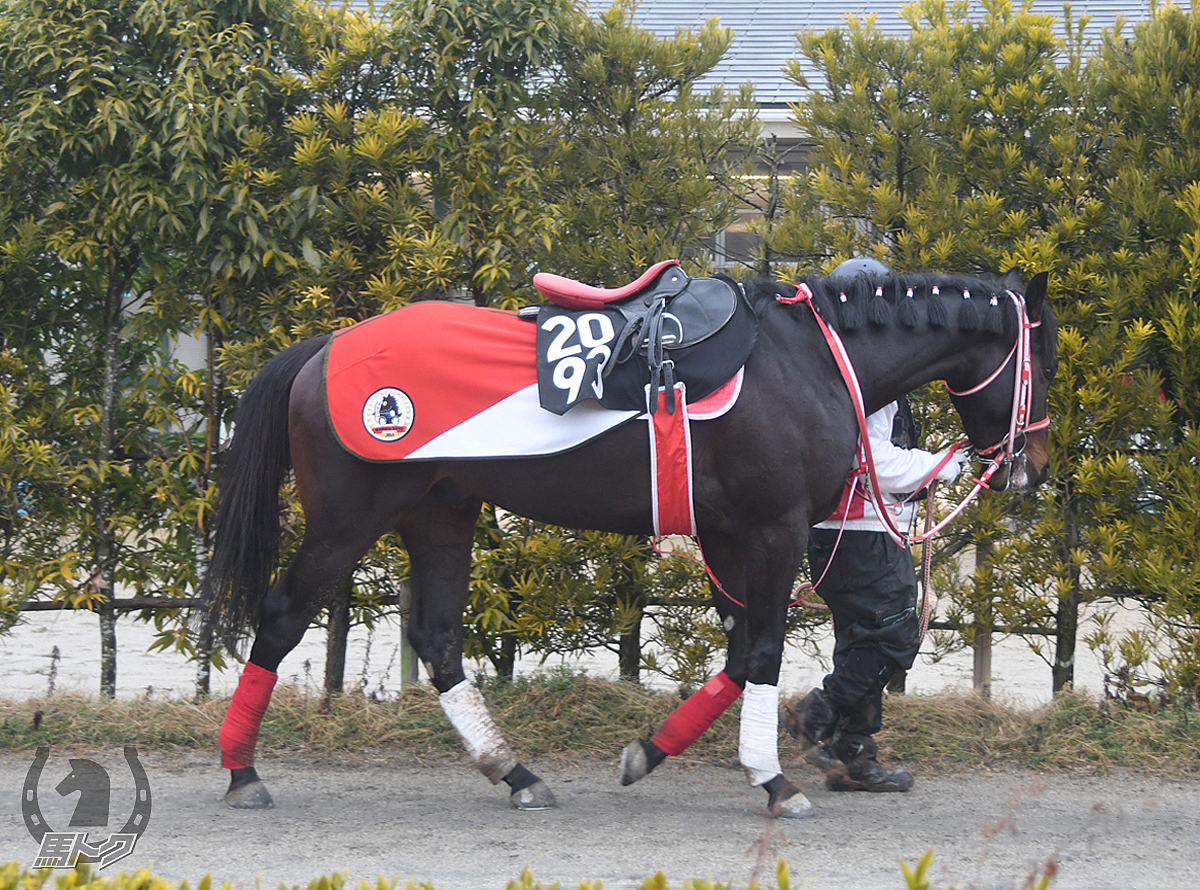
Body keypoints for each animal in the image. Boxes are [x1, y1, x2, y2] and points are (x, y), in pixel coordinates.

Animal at [201, 266, 1056, 820]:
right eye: (1042, 358)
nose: (1034, 466)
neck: (808, 358)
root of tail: (325, 346)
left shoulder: (730, 535)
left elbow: (741, 653)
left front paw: (652, 751)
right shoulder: (771, 530)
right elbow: (765, 650)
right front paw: (774, 779)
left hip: (440, 512)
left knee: (439, 640)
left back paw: (515, 772)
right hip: (348, 520)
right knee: (281, 618)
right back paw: (242, 772)